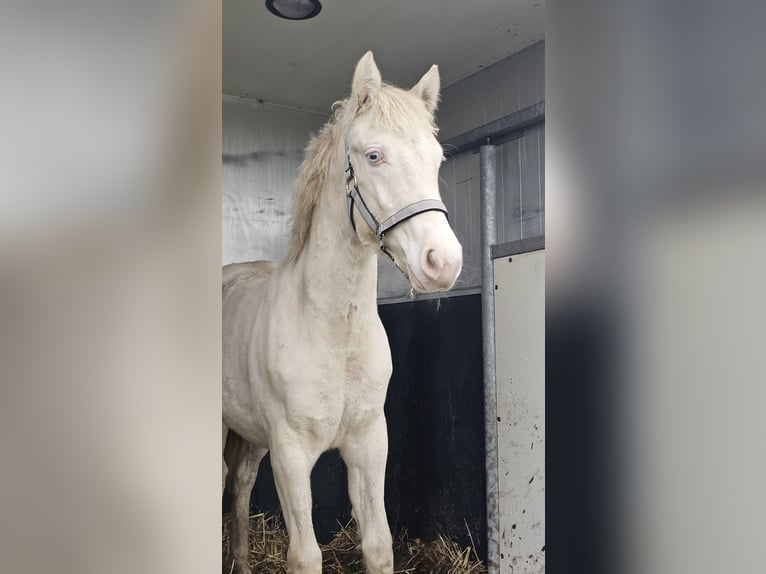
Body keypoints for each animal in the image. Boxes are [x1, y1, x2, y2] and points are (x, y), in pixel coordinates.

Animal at [222, 51, 463, 574]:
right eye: (373, 155)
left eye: (437, 159)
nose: (444, 262)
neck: (333, 331)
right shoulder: (291, 453)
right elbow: (305, 556)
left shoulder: (369, 444)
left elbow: (378, 545)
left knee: (242, 483)